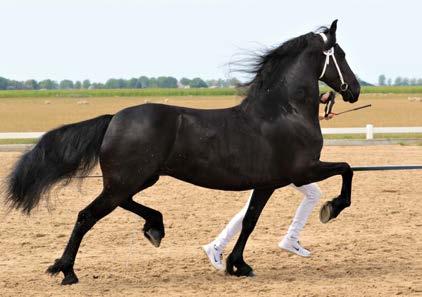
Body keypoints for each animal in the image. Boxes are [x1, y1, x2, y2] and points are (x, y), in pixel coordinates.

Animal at [4, 19, 360, 284]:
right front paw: (332, 208)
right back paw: (66, 270)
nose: (355, 90)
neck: (283, 111)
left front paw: (236, 265)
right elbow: (346, 169)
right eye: (341, 54)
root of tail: (114, 118)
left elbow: (249, 221)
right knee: (86, 215)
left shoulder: (268, 183)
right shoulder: (303, 170)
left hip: (138, 179)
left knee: (123, 204)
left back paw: (155, 227)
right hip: (126, 180)